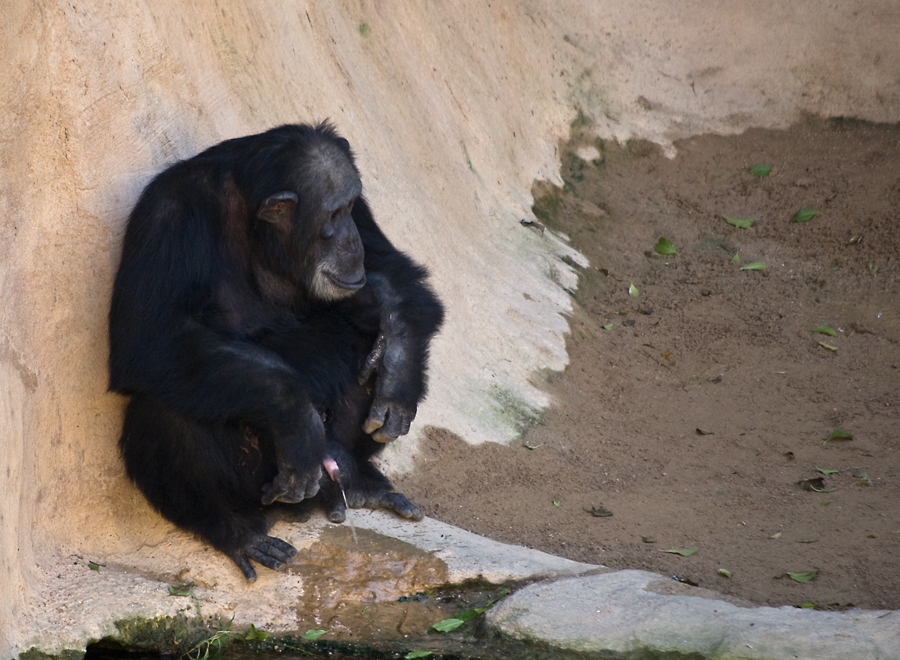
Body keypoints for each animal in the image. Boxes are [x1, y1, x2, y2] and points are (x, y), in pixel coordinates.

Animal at [108, 121, 442, 580]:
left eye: (350, 207)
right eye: (332, 216)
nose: (350, 238)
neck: (257, 227)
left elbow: (389, 267)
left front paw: (398, 366)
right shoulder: (167, 214)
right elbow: (151, 338)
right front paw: (296, 417)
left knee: (362, 334)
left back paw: (360, 479)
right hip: (261, 487)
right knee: (167, 403)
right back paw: (231, 528)